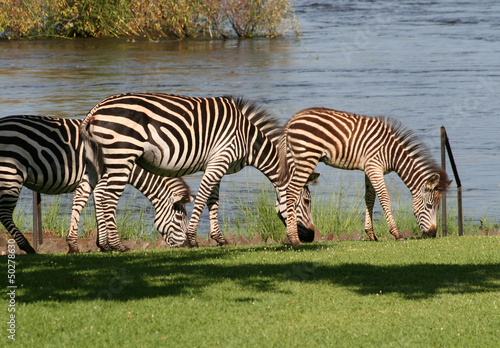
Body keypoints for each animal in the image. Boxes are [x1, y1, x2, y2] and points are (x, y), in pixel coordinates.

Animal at [0, 115, 193, 254]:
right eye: (179, 217)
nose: (188, 245)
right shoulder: (103, 180)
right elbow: (102, 207)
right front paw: (106, 245)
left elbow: (97, 208)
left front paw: (102, 244)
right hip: (11, 173)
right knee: (5, 214)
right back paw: (28, 247)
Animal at [80, 92, 318, 250]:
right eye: (307, 201)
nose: (310, 238)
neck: (247, 139)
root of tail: (96, 108)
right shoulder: (219, 160)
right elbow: (203, 197)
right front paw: (192, 238)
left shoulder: (218, 164)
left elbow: (213, 200)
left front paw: (219, 239)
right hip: (122, 155)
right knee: (109, 198)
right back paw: (118, 245)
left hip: (104, 160)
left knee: (99, 194)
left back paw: (106, 245)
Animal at [276, 107, 452, 243]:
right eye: (429, 206)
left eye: (438, 207)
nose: (432, 234)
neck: (392, 153)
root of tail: (292, 120)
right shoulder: (374, 166)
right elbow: (384, 198)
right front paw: (396, 234)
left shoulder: (370, 169)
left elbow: (370, 198)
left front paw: (371, 234)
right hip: (307, 157)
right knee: (291, 191)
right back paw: (294, 238)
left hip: (295, 159)